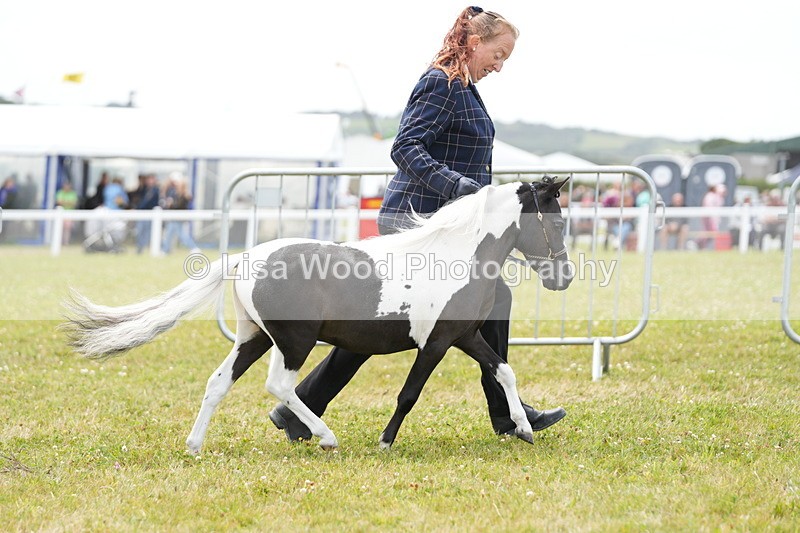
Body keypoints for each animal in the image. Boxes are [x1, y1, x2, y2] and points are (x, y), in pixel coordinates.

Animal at [64, 177, 573, 453]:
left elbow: (503, 370)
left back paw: (194, 446)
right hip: (294, 341)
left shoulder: (464, 335)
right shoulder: (436, 342)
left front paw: (525, 427)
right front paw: (385, 441)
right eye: (557, 218)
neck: (456, 254)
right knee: (280, 386)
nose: (564, 277)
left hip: (254, 337)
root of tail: (246, 258)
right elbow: (409, 394)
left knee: (218, 382)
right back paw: (326, 437)